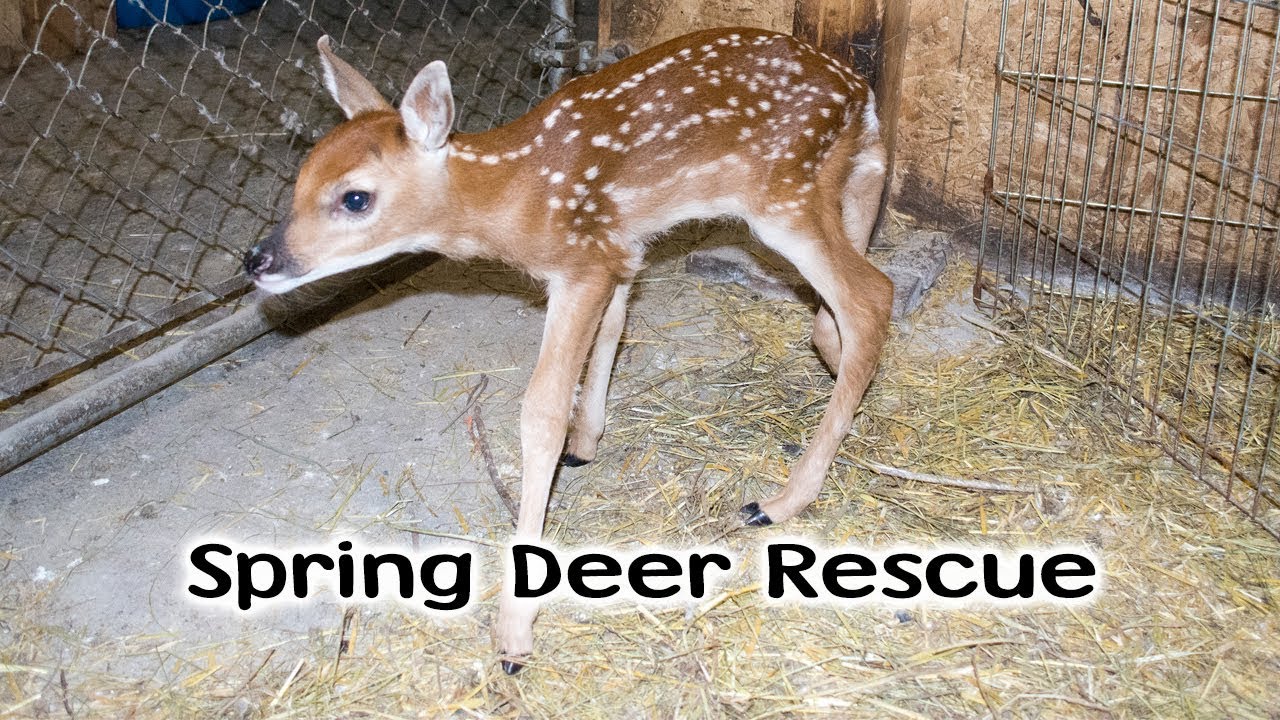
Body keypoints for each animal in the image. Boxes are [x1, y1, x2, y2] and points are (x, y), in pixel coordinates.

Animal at [243, 27, 893, 673]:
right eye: (300, 179)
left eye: (355, 199)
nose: (257, 260)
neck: (515, 194)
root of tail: (861, 95)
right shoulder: (618, 243)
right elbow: (615, 323)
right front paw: (587, 440)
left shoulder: (581, 263)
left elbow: (541, 410)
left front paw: (513, 632)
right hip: (827, 185)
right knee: (841, 310)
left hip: (782, 194)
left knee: (871, 297)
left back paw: (781, 500)